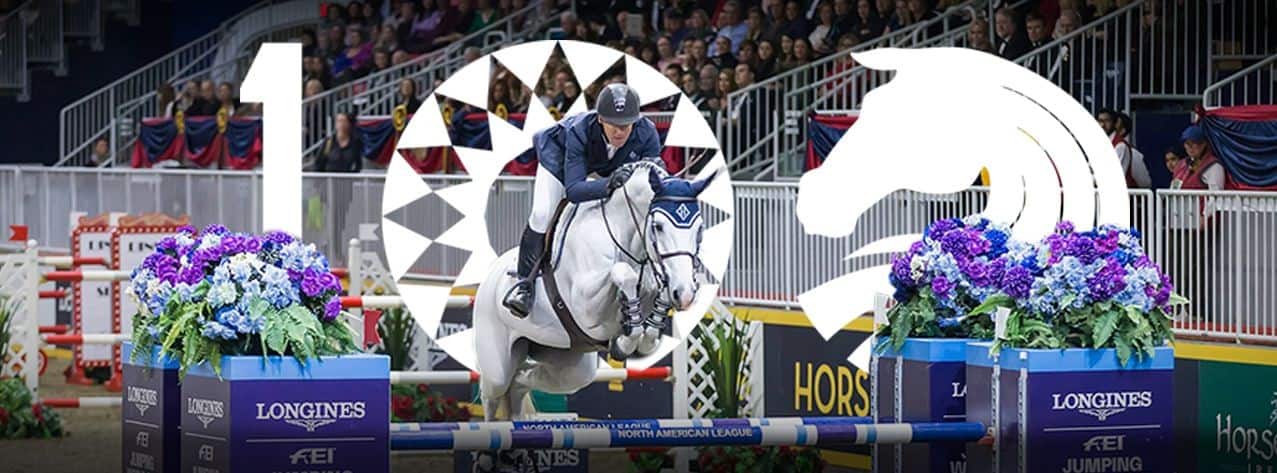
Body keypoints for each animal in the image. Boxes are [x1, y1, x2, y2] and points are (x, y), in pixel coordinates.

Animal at [473, 161, 717, 421]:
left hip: (569, 365)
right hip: (497, 366)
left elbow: (649, 313)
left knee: (519, 383)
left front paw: (637, 332)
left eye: (700, 228)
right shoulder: (585, 307)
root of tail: (490, 276)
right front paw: (625, 340)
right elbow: (623, 273)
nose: (685, 293)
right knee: (494, 393)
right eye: (658, 227)